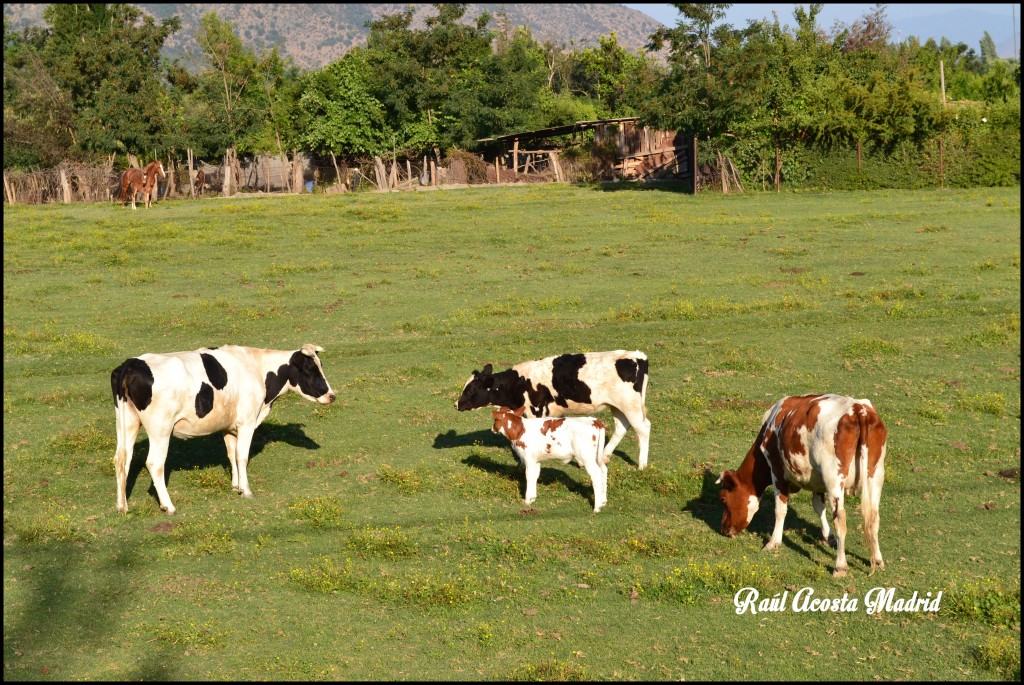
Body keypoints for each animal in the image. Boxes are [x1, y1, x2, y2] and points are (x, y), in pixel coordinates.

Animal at [111, 341, 335, 511]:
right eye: (310, 369)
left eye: (320, 365)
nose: (332, 395)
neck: (256, 368)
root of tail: (130, 364)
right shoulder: (247, 422)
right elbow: (242, 456)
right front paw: (246, 490)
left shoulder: (229, 426)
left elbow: (231, 454)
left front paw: (236, 486)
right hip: (160, 429)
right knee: (154, 463)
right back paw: (168, 506)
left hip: (127, 423)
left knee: (122, 459)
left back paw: (122, 506)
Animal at [454, 350, 647, 466]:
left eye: (470, 389)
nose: (456, 404)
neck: (520, 382)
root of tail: (637, 356)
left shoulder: (537, 411)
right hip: (618, 406)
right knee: (621, 427)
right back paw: (605, 456)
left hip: (630, 405)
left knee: (643, 429)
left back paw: (642, 465)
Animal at [712, 393, 888, 573]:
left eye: (723, 499)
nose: (723, 529)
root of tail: (857, 409)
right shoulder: (817, 480)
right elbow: (819, 507)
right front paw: (828, 536)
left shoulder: (777, 471)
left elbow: (780, 509)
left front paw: (773, 542)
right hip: (876, 474)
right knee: (874, 517)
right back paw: (878, 560)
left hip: (834, 475)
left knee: (840, 519)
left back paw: (840, 566)